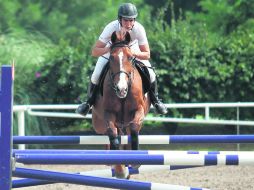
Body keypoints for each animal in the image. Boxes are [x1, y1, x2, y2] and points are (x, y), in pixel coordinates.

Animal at [92, 30, 150, 179]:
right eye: (111, 58)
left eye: (130, 58)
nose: (121, 89)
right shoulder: (109, 113)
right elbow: (112, 134)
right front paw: (119, 169)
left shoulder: (138, 110)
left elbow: (134, 128)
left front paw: (135, 161)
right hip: (99, 124)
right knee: (108, 133)